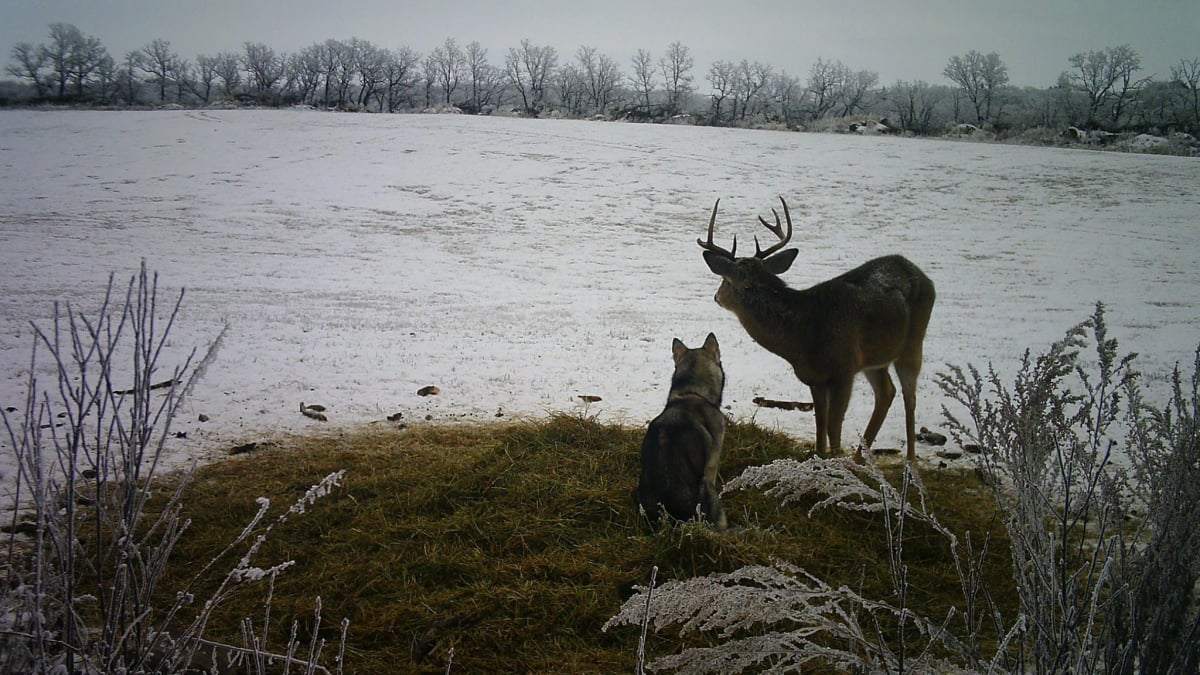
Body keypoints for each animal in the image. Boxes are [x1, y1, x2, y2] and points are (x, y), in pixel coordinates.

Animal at [696, 194, 936, 456]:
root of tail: (920, 272)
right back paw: (859, 459)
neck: (805, 335)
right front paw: (821, 456)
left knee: (909, 397)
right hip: (876, 357)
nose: (716, 296)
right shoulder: (815, 378)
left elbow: (833, 425)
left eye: (724, 280)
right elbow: (820, 422)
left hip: (913, 342)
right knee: (886, 392)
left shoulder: (844, 370)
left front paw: (836, 458)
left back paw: (909, 460)